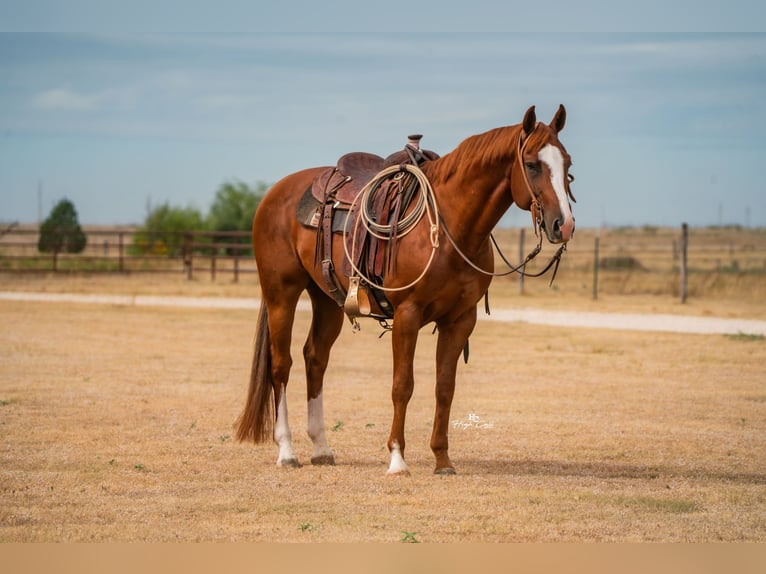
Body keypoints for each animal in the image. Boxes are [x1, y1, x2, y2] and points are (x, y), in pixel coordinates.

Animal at [236, 104, 575, 475]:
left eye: (567, 164)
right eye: (531, 164)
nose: (564, 225)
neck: (449, 226)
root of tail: (276, 192)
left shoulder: (460, 320)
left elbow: (445, 387)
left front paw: (442, 459)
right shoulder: (407, 315)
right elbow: (403, 385)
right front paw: (398, 459)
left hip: (326, 299)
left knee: (315, 359)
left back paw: (322, 448)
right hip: (281, 293)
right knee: (281, 365)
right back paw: (287, 451)